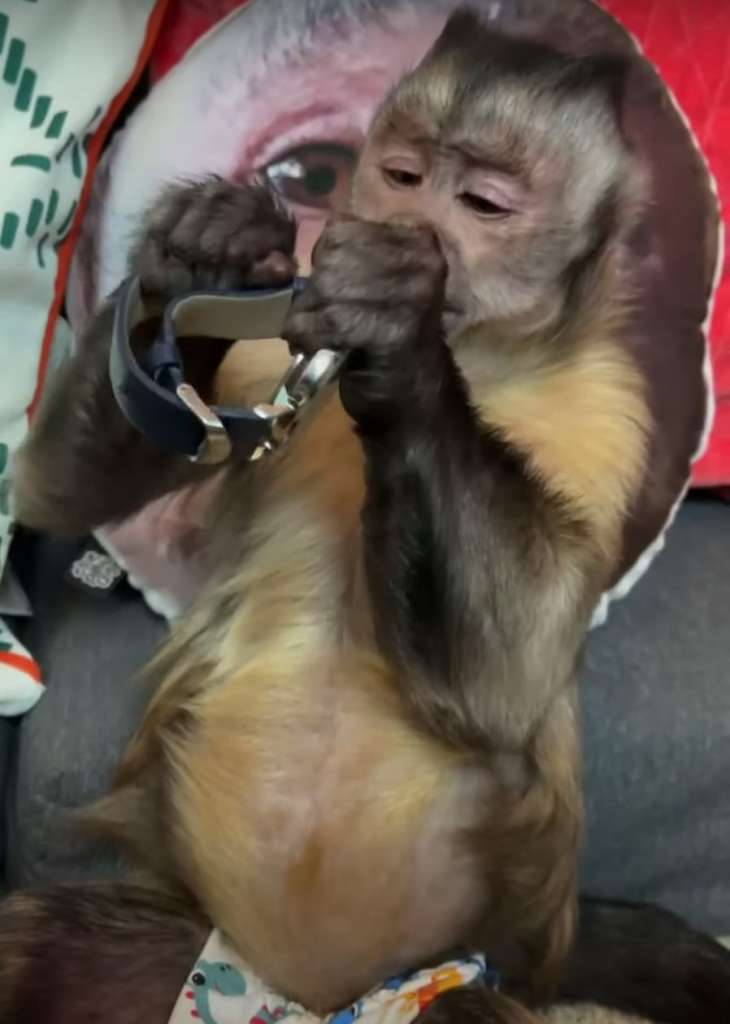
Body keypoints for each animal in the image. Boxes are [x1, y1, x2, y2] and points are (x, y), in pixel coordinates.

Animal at [6, 9, 730, 1024]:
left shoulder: (613, 404)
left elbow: (513, 677)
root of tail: (300, 994)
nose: (411, 228)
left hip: (453, 977)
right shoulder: (278, 333)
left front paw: (397, 334)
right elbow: (51, 494)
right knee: (43, 946)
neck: (480, 356)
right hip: (177, 952)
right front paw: (197, 252)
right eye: (402, 175)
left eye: (483, 203)